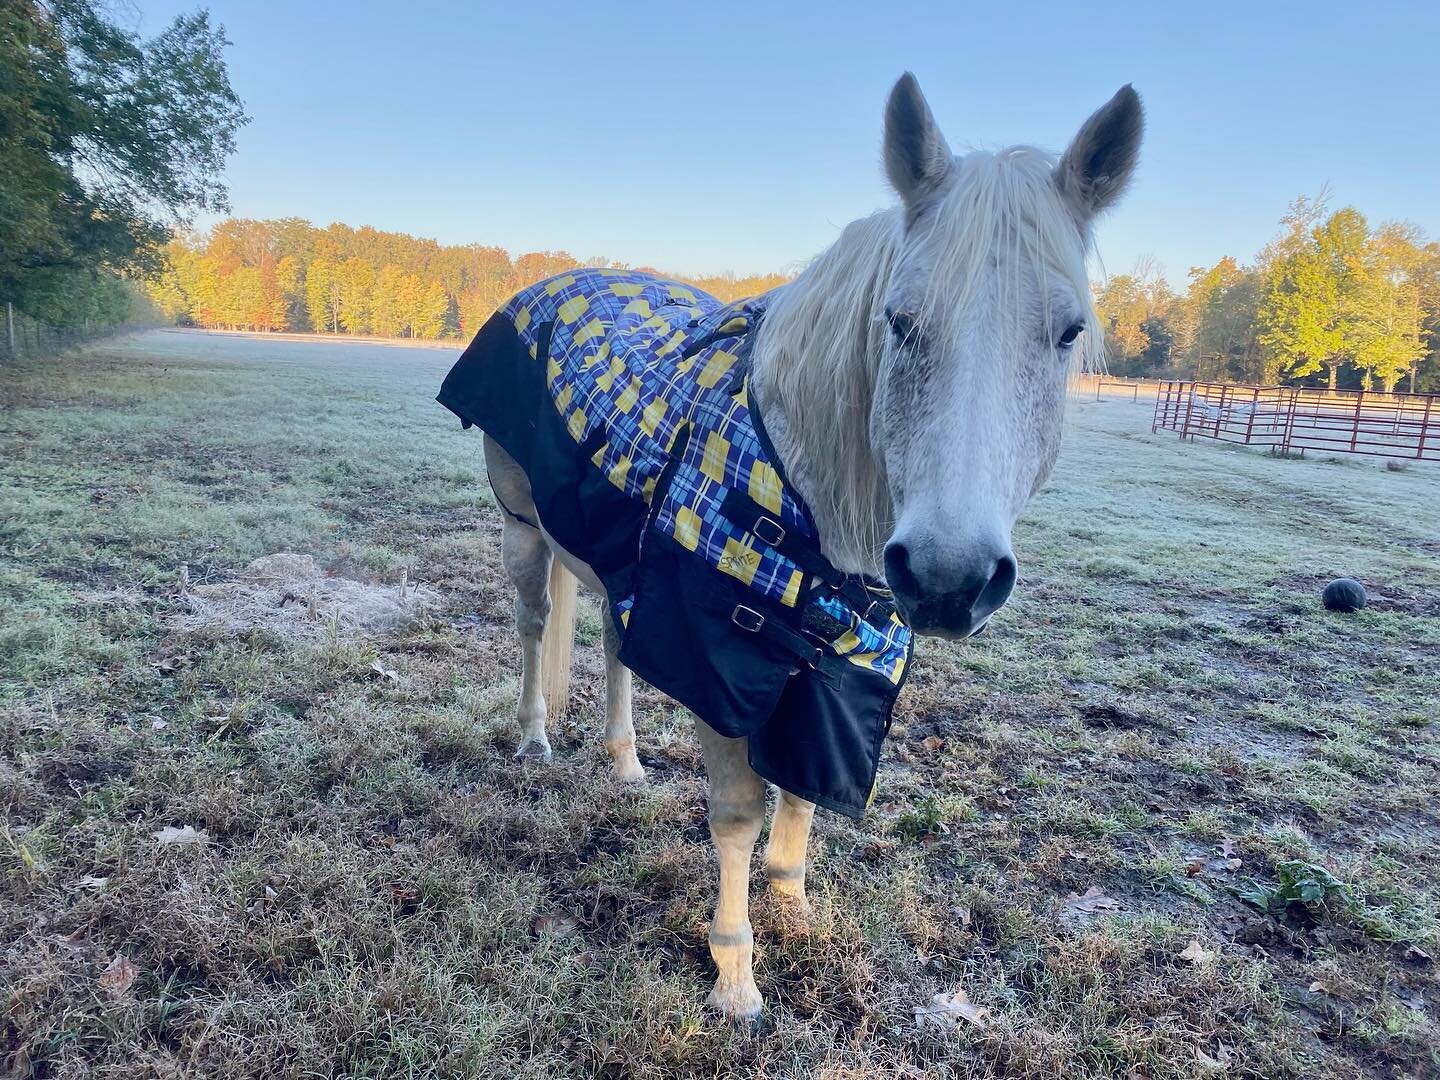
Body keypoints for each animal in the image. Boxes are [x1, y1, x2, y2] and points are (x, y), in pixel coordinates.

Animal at [455, 76, 1140, 1025]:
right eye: (899, 321)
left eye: (1069, 332)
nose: (949, 577)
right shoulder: (720, 659)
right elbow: (739, 811)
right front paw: (735, 974)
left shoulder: (838, 668)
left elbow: (806, 783)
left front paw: (795, 904)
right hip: (524, 529)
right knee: (530, 625)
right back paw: (533, 740)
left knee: (615, 646)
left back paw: (625, 762)